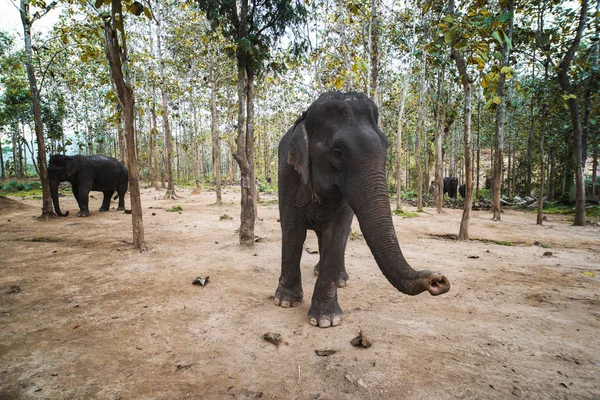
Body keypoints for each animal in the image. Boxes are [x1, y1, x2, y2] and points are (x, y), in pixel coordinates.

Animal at [274, 92, 448, 330]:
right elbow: (293, 230)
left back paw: (340, 280)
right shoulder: (287, 175)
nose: (438, 280)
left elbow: (336, 234)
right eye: (337, 153)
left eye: (386, 147)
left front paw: (326, 320)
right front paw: (285, 302)